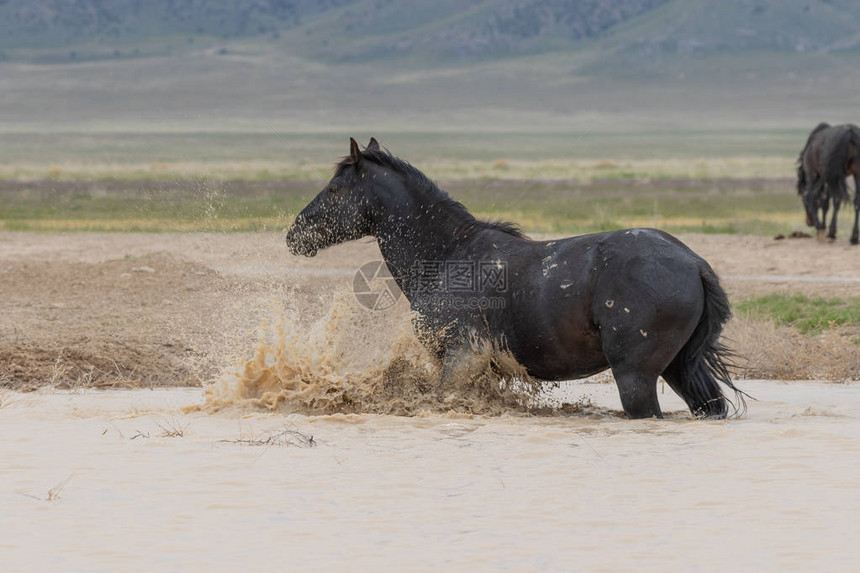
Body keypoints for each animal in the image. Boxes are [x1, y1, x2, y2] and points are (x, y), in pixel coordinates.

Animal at [286, 137, 744, 418]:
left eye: (334, 190)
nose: (294, 235)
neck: (448, 256)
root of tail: (693, 263)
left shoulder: (459, 359)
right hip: (681, 367)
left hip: (636, 375)